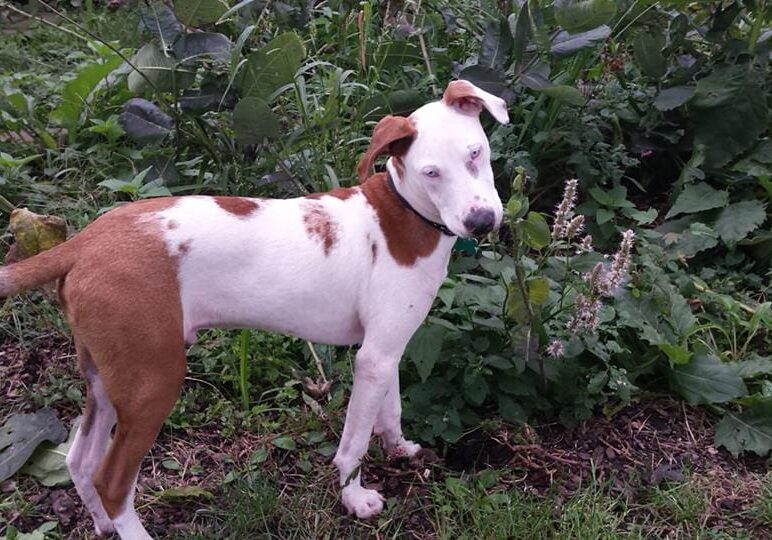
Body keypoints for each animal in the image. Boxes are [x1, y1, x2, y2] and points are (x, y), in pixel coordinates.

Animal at [0, 79, 506, 536]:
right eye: (430, 173)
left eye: (475, 154)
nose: (482, 222)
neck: (404, 213)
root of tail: (85, 241)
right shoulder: (372, 359)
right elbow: (354, 444)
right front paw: (355, 498)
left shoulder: (387, 348)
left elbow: (392, 410)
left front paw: (401, 448)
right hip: (153, 381)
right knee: (111, 479)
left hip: (107, 375)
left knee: (80, 460)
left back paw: (103, 525)